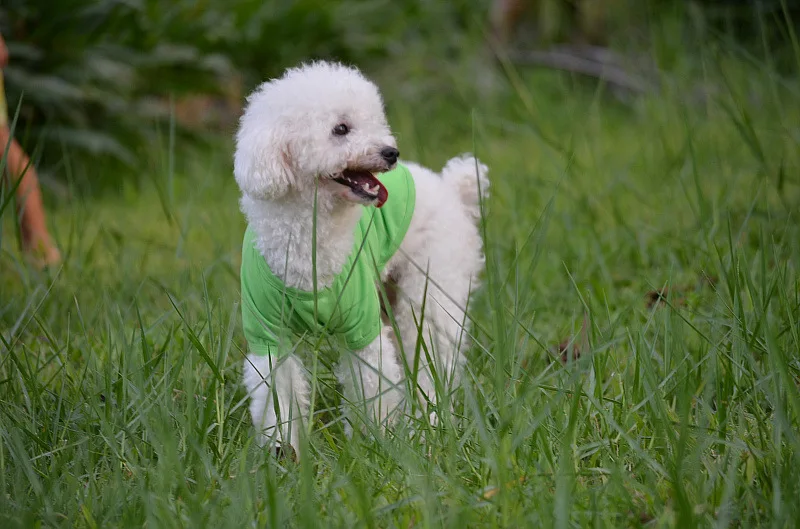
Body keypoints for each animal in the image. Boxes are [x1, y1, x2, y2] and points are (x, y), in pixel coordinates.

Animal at [234, 60, 488, 458]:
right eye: (341, 129)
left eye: (376, 121)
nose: (390, 152)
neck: (311, 239)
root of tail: (451, 188)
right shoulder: (269, 334)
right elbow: (278, 394)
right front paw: (281, 450)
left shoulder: (363, 327)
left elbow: (372, 385)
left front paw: (374, 446)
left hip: (432, 290)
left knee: (433, 359)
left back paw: (428, 423)